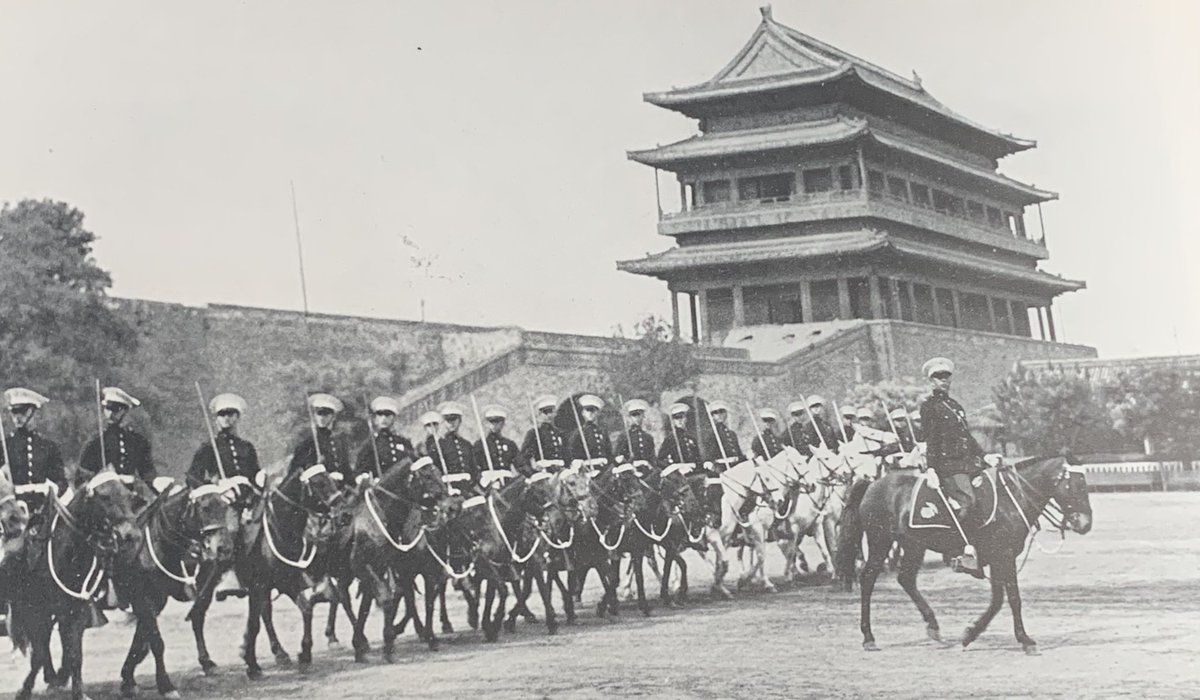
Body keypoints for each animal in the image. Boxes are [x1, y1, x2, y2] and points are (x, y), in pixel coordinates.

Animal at [7, 468, 144, 700]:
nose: (131, 536)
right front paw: (25, 689)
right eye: (103, 497)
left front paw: (77, 691)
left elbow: (74, 654)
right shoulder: (35, 611)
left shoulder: (75, 612)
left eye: (129, 496)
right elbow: (40, 651)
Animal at [112, 480, 234, 696]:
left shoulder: (157, 599)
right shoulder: (143, 598)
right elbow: (155, 641)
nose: (224, 548)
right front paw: (165, 685)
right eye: (204, 507)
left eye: (224, 505)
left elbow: (143, 638)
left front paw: (128, 677)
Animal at [840, 456, 1094, 653]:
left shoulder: (998, 558)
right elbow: (1013, 599)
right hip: (880, 543)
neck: (1009, 501)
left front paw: (970, 634)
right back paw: (869, 637)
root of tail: (873, 484)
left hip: (913, 546)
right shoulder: (1004, 556)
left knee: (906, 580)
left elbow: (997, 600)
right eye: (1075, 485)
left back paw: (933, 627)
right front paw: (1025, 640)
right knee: (868, 580)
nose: (1085, 524)